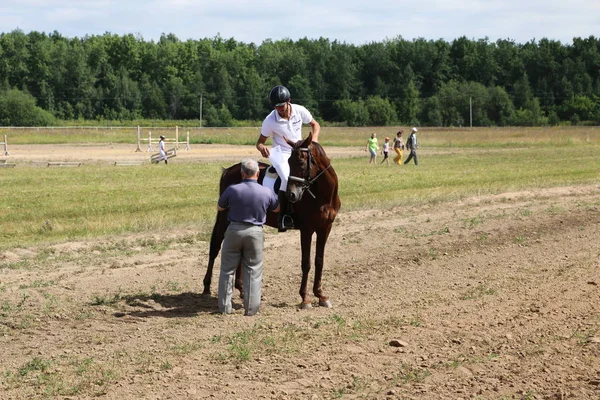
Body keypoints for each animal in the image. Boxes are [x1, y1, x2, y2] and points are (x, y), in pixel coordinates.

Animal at [203, 133, 340, 308]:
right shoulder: (307, 230)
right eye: (289, 162)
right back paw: (206, 287)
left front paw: (321, 295)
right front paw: (305, 298)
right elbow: (306, 263)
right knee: (214, 247)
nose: (291, 195)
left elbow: (319, 261)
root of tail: (229, 170)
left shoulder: (325, 228)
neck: (322, 196)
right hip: (224, 220)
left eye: (301, 162)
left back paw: (241, 289)